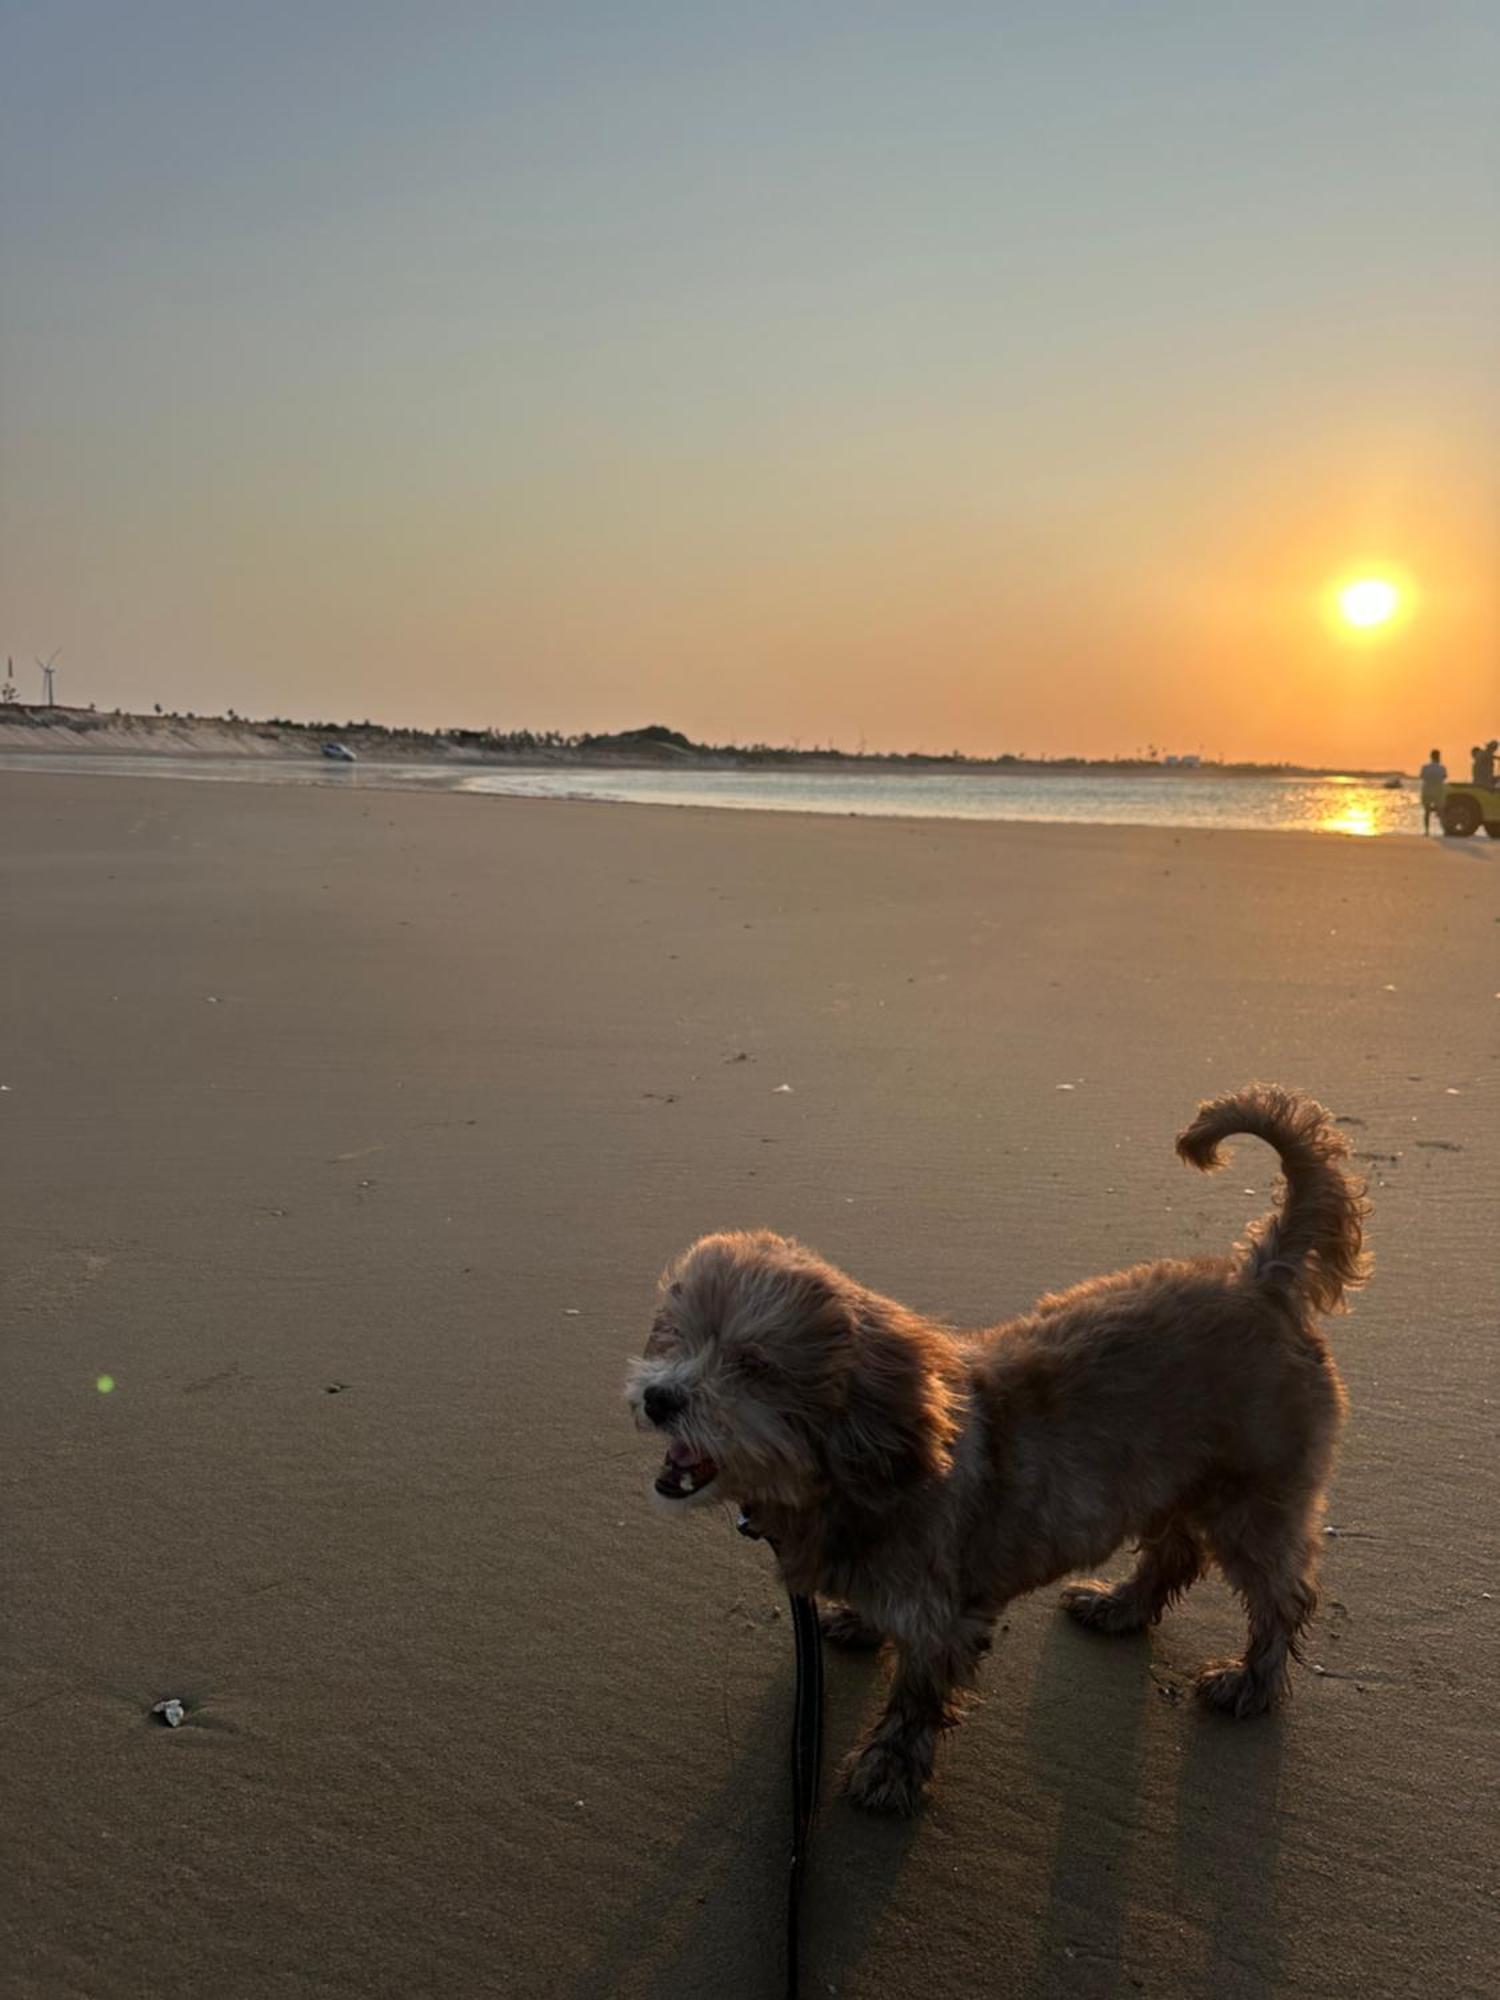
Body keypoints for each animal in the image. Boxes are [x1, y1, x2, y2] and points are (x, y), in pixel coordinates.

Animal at [624, 1088, 1376, 1824]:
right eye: (675, 1336)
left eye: (752, 1367)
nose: (658, 1398)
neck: (865, 1474)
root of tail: (1261, 1279)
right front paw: (861, 1625)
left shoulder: (941, 1617)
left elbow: (917, 1695)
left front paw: (890, 1768)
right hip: (1167, 1475)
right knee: (1175, 1552)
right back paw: (1121, 1608)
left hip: (1255, 1499)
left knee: (1280, 1592)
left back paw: (1251, 1682)